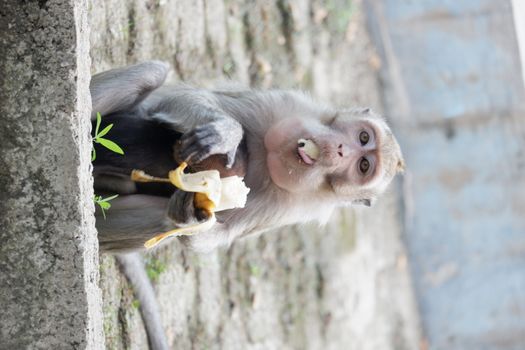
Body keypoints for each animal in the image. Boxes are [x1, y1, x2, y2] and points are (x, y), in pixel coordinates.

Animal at [90, 60, 404, 350]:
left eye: (363, 165)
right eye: (363, 137)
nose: (340, 150)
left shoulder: (284, 206)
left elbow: (208, 235)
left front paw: (190, 216)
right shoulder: (283, 107)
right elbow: (184, 99)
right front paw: (225, 133)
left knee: (159, 216)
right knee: (153, 74)